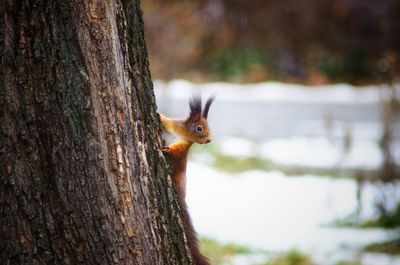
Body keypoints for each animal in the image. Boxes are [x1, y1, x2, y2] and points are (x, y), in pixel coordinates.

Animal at [160, 94, 216, 264]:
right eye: (200, 128)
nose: (209, 140)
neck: (183, 133)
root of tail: (182, 196)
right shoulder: (172, 125)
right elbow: (166, 121)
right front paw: (159, 115)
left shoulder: (183, 146)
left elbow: (176, 151)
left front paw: (167, 150)